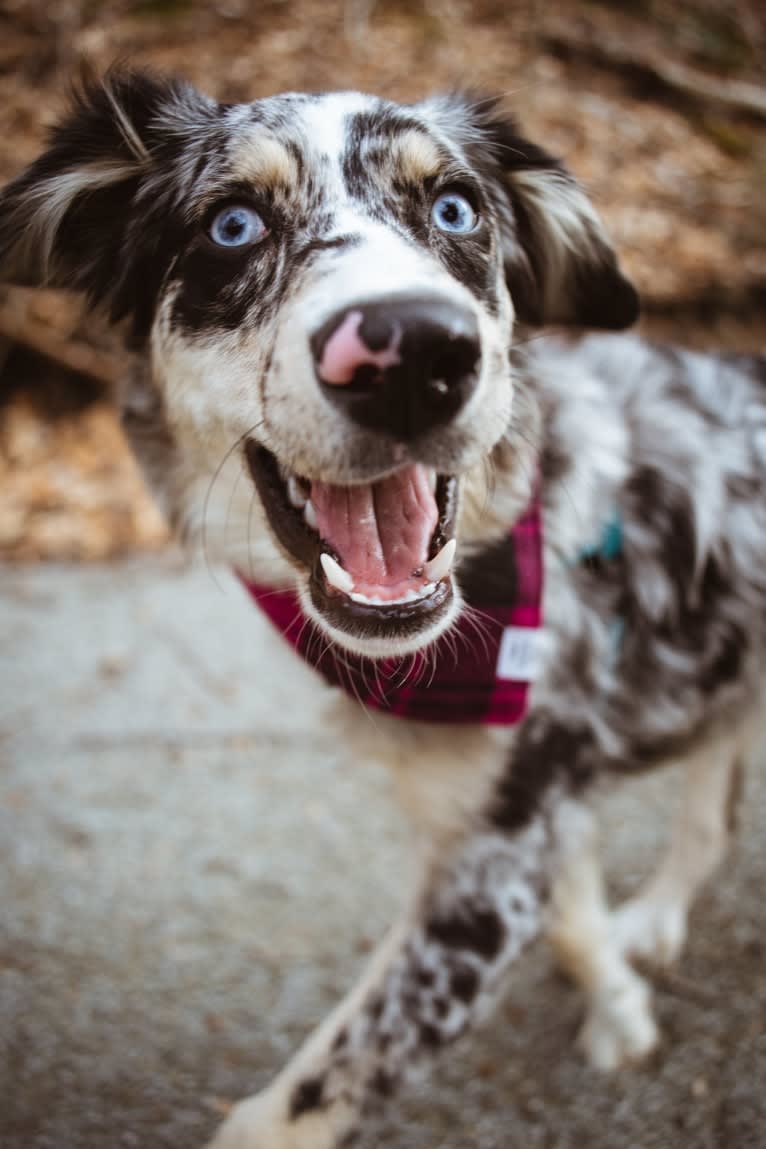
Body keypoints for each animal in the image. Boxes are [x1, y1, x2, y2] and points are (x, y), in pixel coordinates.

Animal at [2, 74, 762, 1149]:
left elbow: (303, 1101)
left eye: (455, 210)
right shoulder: (517, 815)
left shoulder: (490, 868)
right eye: (232, 224)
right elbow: (572, 902)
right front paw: (616, 996)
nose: (413, 352)